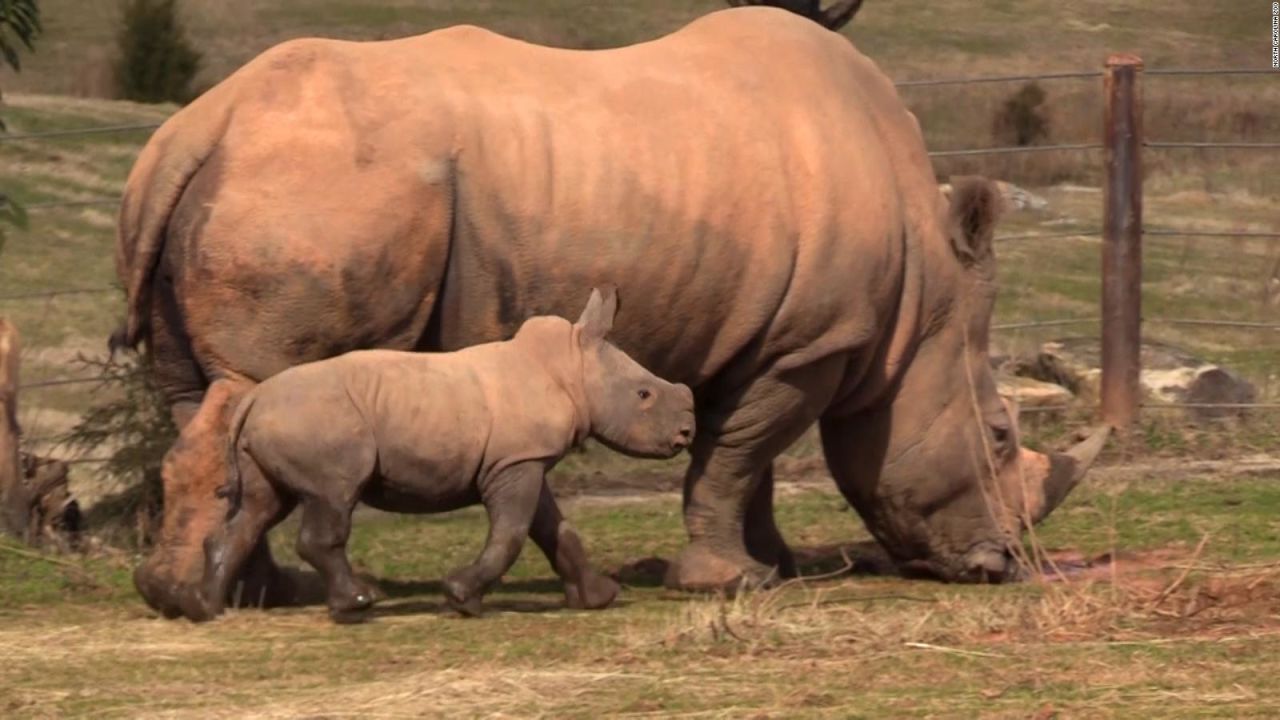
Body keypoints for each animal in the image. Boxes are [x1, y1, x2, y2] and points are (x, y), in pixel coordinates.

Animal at [200, 288, 696, 620]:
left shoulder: (522, 458)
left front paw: (599, 598)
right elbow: (512, 533)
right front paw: (461, 598)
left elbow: (556, 529)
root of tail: (254, 397)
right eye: (645, 395)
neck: (572, 366)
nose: (687, 432)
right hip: (321, 422)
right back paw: (359, 605)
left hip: (279, 424)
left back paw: (210, 608)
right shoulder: (516, 461)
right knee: (333, 496)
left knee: (259, 507)